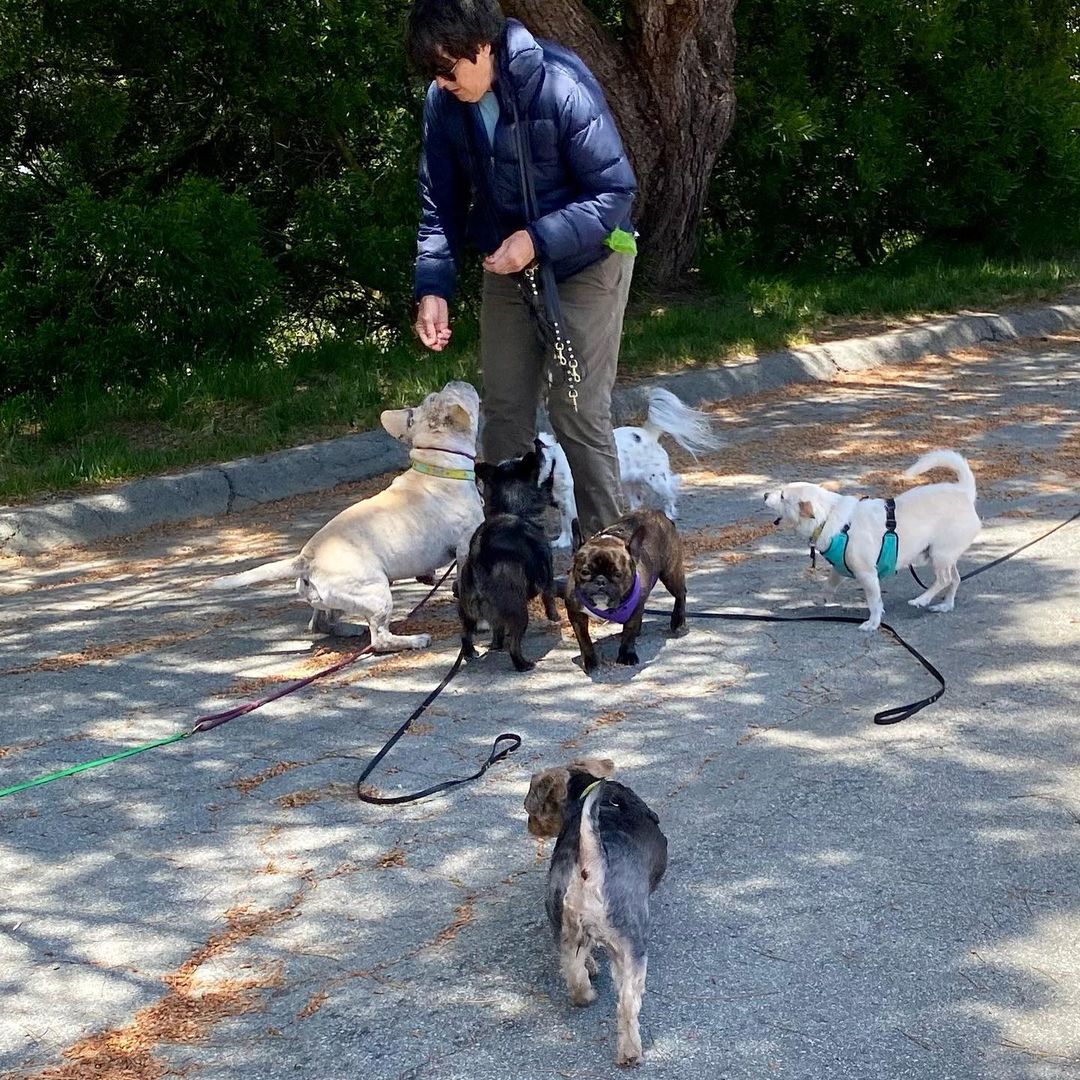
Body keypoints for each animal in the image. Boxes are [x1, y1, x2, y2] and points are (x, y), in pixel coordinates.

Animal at [205, 382, 481, 648]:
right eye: (451, 392)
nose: (455, 380)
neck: (438, 464)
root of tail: (305, 560)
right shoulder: (464, 546)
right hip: (377, 592)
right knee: (379, 639)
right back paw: (413, 640)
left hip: (337, 599)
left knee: (319, 623)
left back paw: (349, 629)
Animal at [455, 444, 557, 665]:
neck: (513, 509)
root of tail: (478, 561)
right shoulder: (548, 572)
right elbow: (549, 596)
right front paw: (555, 616)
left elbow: (498, 630)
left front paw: (495, 644)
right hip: (518, 612)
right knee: (515, 645)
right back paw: (523, 664)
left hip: (466, 611)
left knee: (465, 634)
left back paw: (471, 653)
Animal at [537, 386, 717, 548]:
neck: (553, 462)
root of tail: (648, 434)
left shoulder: (567, 499)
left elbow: (566, 522)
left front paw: (562, 541)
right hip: (630, 485)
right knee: (637, 503)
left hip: (656, 480)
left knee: (670, 493)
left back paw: (668, 513)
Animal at [764, 449, 984, 630]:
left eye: (782, 496)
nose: (765, 494)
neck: (829, 516)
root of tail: (964, 493)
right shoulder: (840, 568)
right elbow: (829, 584)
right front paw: (824, 598)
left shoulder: (868, 575)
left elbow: (874, 601)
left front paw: (873, 623)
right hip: (944, 557)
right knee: (955, 579)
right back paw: (945, 605)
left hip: (940, 555)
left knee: (944, 579)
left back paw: (921, 599)